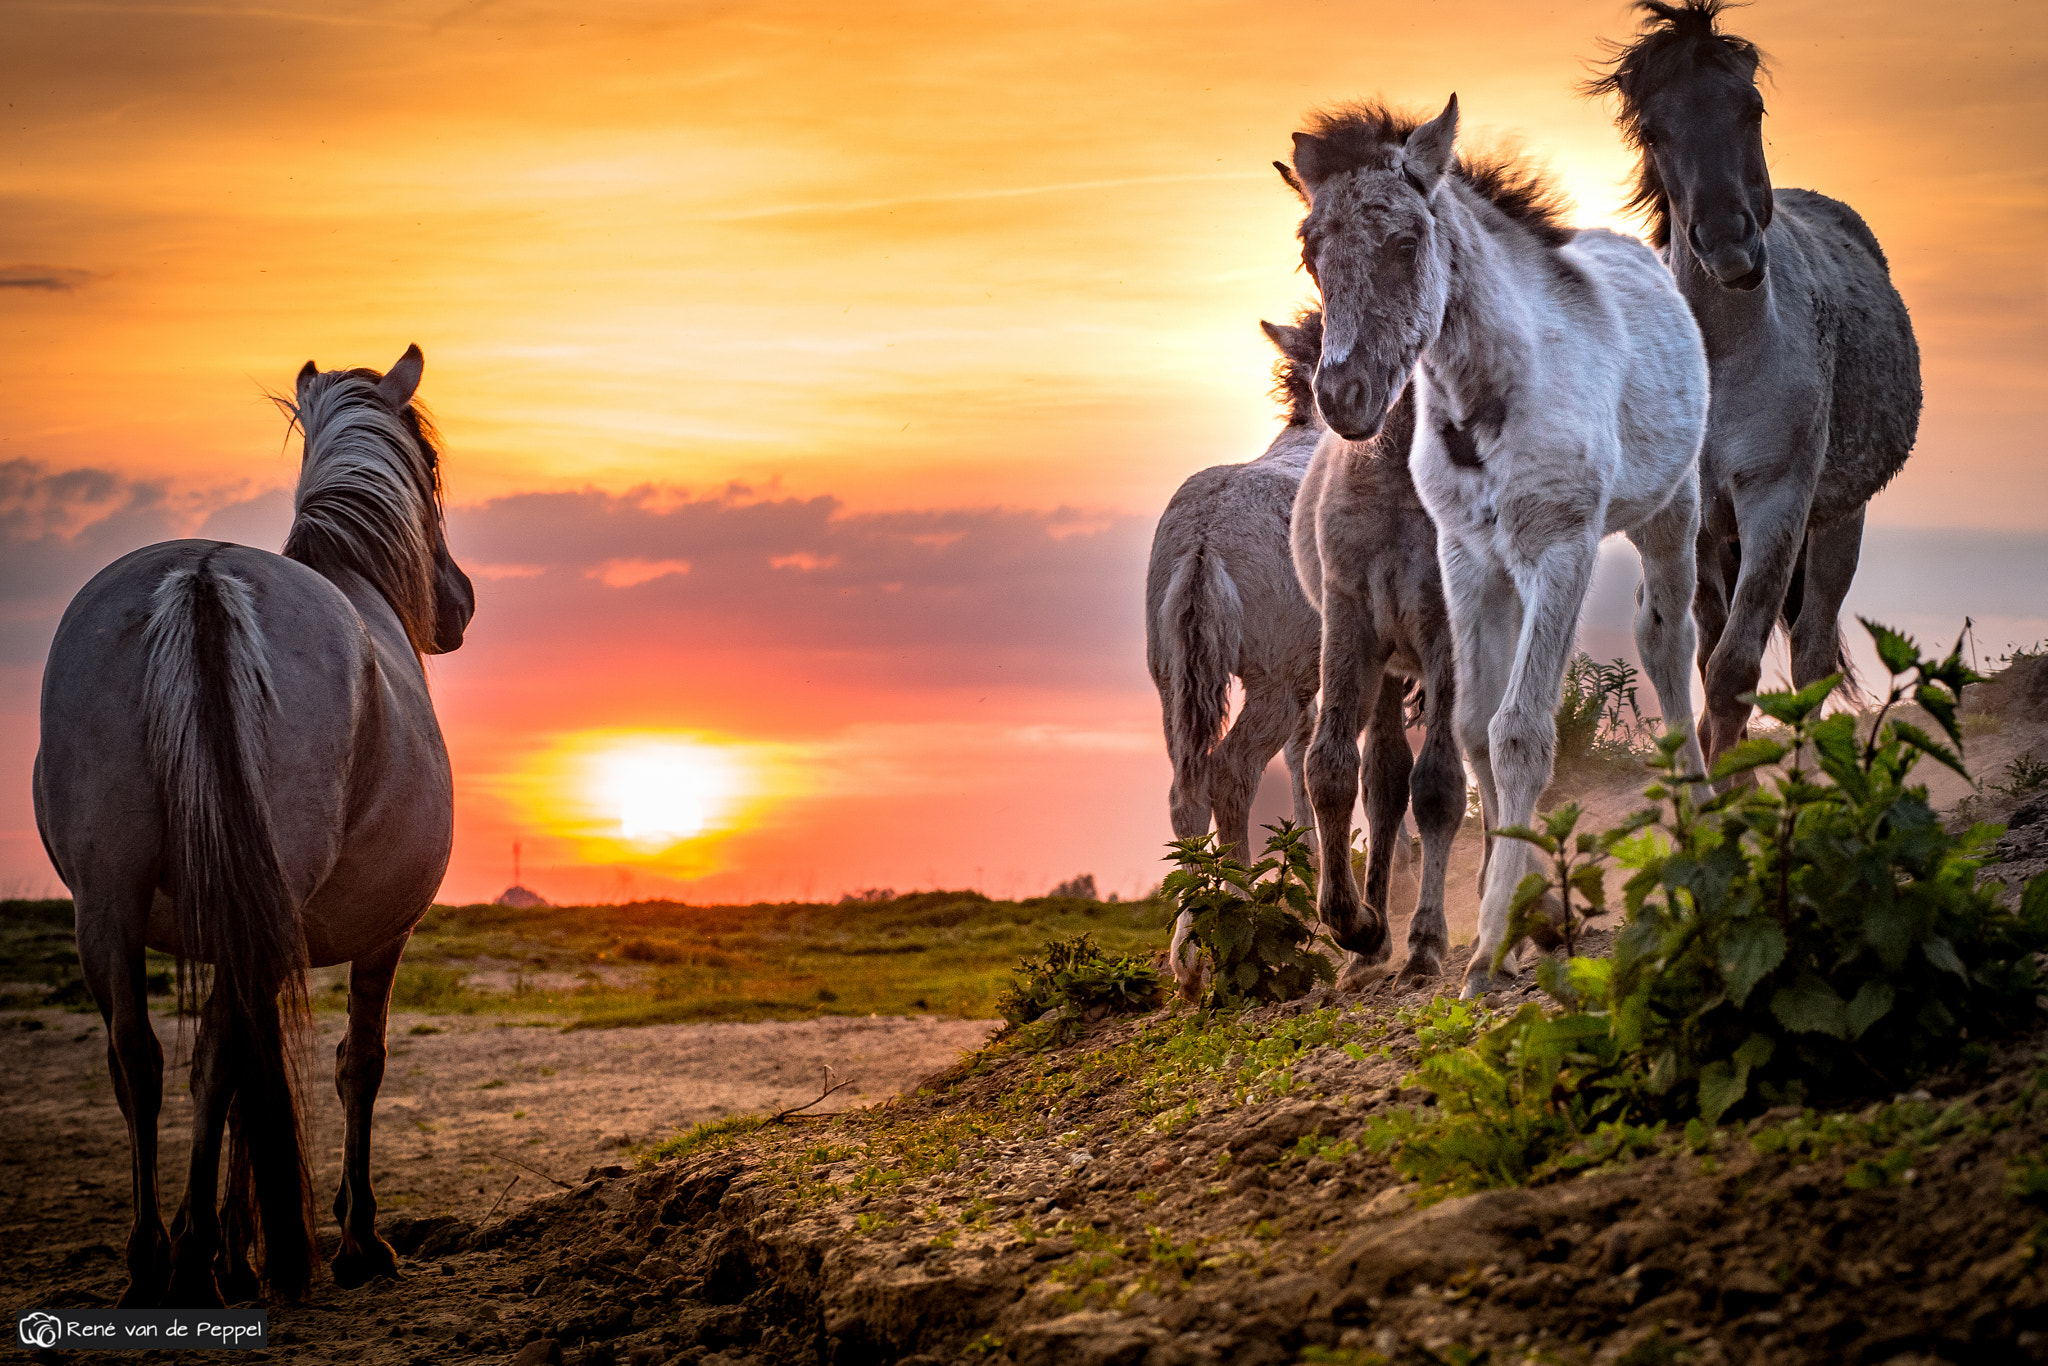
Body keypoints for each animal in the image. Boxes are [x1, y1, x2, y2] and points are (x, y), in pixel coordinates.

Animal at [34, 348, 473, 1310]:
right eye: (431, 469)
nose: (460, 602)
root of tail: (201, 581)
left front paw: (240, 1246)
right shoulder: (386, 933)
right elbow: (357, 1063)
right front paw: (355, 1240)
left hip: (106, 902)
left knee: (141, 1060)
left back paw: (157, 1260)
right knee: (221, 1057)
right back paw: (202, 1257)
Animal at [1294, 93, 1712, 995]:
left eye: (1405, 243)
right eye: (1311, 252)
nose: (1343, 395)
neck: (1486, 394)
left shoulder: (1560, 549)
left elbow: (1520, 732)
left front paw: (1485, 949)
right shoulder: (1467, 565)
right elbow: (1474, 729)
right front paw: (1511, 918)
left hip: (1671, 511)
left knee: (1668, 640)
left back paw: (1703, 824)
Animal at [1581, 0, 1916, 765]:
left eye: (1751, 107)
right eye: (1653, 128)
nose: (1729, 243)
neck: (1723, 364)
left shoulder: (1777, 503)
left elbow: (1736, 669)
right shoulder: (1700, 521)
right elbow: (1709, 663)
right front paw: (1721, 779)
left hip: (1839, 522)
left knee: (1814, 655)